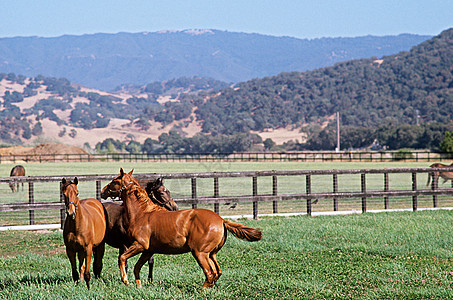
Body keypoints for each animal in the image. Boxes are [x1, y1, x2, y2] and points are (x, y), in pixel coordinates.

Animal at [100, 169, 262, 288]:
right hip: (211, 254)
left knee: (210, 273)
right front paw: (138, 286)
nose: (102, 191)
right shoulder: (148, 250)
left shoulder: (139, 245)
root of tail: (221, 220)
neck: (142, 213)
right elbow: (137, 267)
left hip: (200, 253)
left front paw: (126, 281)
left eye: (115, 181)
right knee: (217, 272)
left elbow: (122, 259)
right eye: (162, 192)